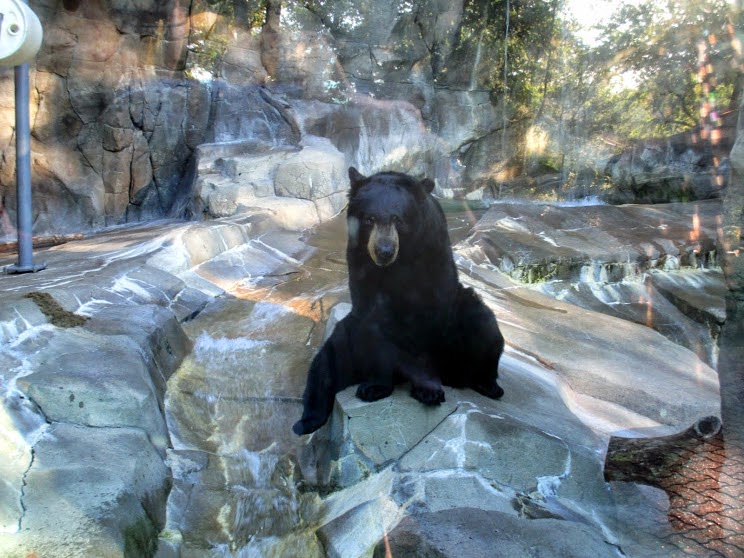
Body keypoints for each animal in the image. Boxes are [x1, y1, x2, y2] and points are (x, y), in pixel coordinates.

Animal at [292, 168, 505, 435]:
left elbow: (428, 317)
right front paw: (374, 387)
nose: (384, 251)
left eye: (398, 219)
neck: (398, 263)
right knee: (327, 363)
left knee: (483, 325)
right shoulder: (361, 263)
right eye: (370, 219)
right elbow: (375, 325)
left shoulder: (430, 258)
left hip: (463, 320)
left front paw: (428, 390)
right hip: (348, 338)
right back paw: (307, 420)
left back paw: (487, 384)